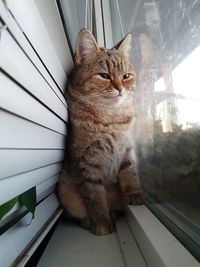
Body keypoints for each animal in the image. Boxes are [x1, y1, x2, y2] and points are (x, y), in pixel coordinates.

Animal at [57, 29, 144, 236]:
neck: (111, 117)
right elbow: (94, 197)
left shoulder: (126, 149)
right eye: (104, 75)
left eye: (126, 76)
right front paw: (101, 220)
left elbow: (129, 174)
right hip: (65, 192)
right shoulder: (87, 163)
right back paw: (90, 220)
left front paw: (134, 193)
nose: (120, 89)